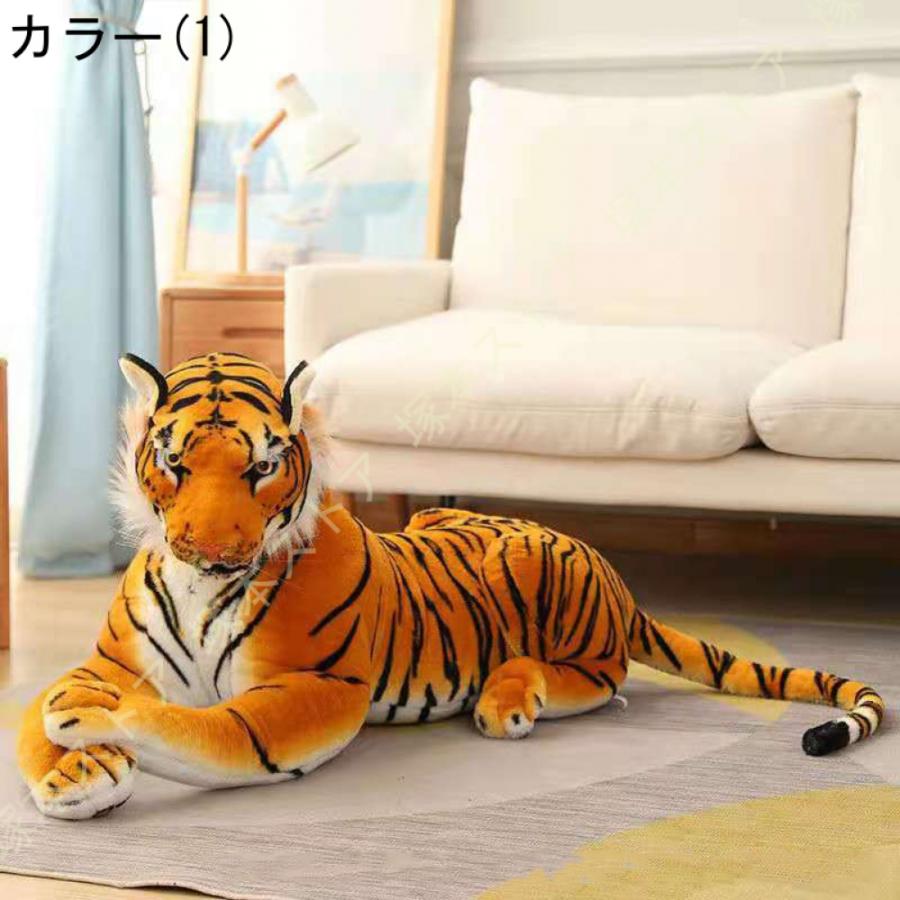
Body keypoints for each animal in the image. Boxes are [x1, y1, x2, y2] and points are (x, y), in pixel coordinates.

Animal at [17, 351, 885, 819]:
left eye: (262, 467)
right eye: (172, 462)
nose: (212, 553)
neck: (201, 594)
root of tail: (612, 573)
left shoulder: (316, 686)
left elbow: (206, 728)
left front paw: (93, 720)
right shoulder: (111, 656)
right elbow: (35, 717)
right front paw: (76, 771)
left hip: (551, 588)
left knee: (596, 678)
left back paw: (508, 701)